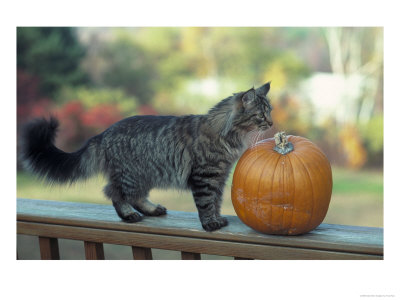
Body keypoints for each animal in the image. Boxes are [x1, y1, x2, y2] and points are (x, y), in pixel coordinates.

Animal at [20, 82, 274, 232]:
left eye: (270, 112)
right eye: (261, 115)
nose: (272, 123)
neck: (228, 133)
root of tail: (103, 133)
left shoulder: (219, 176)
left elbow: (216, 201)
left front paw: (217, 218)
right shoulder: (205, 176)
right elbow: (205, 202)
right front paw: (209, 223)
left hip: (146, 175)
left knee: (136, 196)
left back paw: (152, 210)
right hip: (130, 175)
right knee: (114, 193)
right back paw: (129, 215)